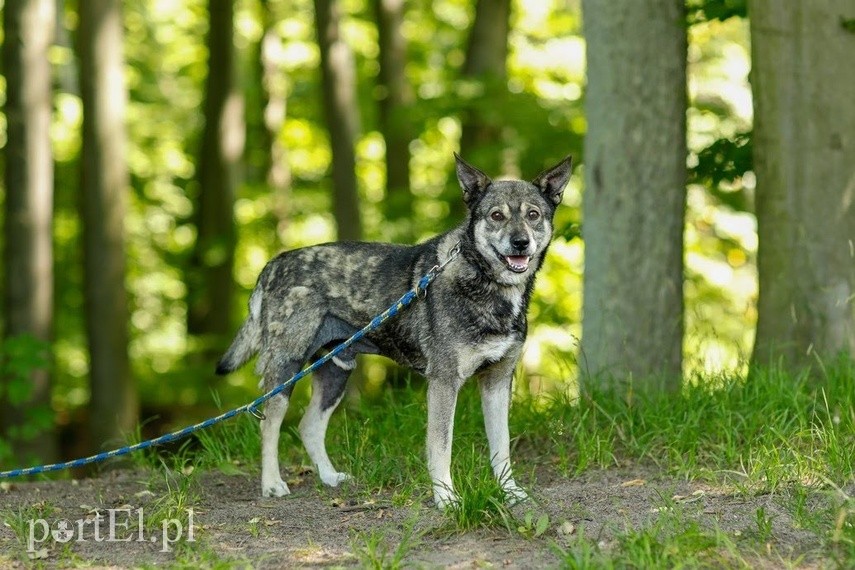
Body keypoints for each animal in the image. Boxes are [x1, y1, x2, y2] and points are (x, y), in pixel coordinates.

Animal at [217, 152, 572, 506]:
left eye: (533, 214)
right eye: (497, 216)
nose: (520, 242)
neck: (485, 282)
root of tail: (273, 265)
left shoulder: (497, 381)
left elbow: (501, 445)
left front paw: (509, 491)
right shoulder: (444, 382)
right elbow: (441, 446)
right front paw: (446, 498)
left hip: (335, 373)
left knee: (309, 426)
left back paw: (329, 477)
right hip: (285, 369)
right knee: (269, 425)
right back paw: (272, 483)